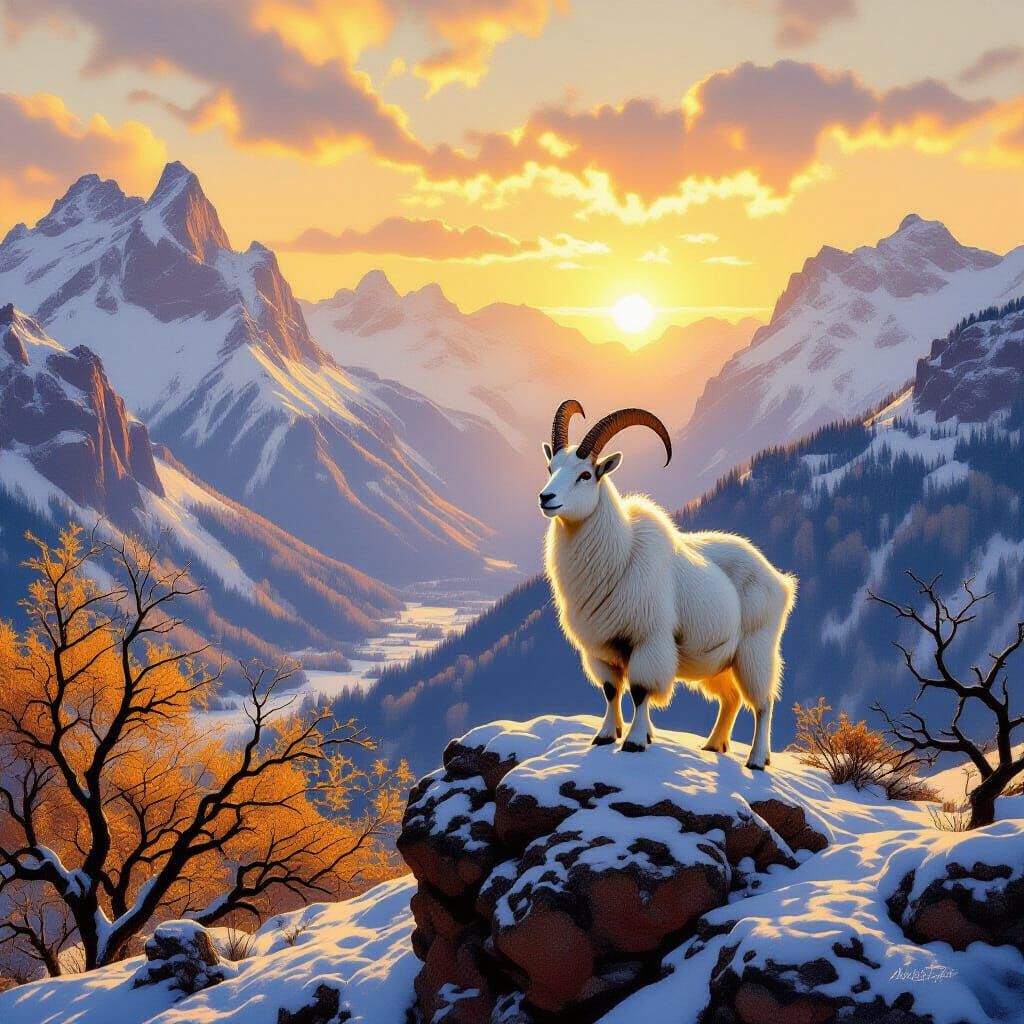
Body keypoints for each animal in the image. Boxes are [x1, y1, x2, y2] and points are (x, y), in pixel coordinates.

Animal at [539, 400, 797, 769]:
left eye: (585, 474)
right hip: (719, 662)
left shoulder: (649, 640)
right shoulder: (601, 649)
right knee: (731, 698)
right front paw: (606, 736)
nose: (547, 498)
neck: (621, 554)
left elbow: (640, 690)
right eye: (551, 467)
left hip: (755, 651)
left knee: (763, 702)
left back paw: (757, 759)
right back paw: (712, 746)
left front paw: (634, 741)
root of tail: (780, 581)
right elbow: (611, 691)